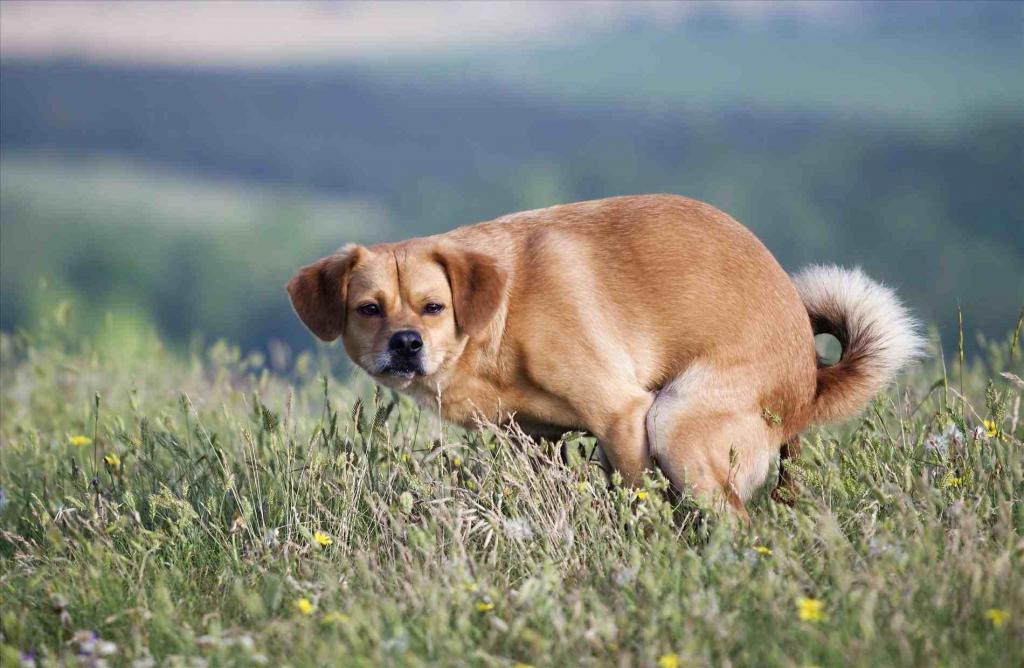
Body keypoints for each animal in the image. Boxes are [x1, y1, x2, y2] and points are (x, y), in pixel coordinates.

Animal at [286, 194, 921, 516]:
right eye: (369, 309)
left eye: (433, 307)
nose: (406, 343)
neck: (500, 315)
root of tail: (811, 383)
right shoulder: (532, 438)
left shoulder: (622, 414)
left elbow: (639, 493)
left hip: (675, 421)